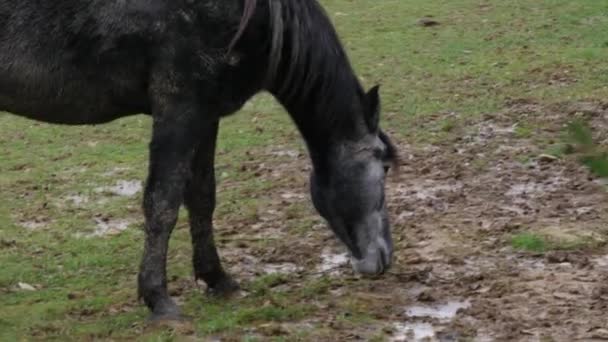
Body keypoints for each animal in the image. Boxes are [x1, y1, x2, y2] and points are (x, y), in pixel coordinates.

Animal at [0, 0, 400, 322]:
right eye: (384, 166)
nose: (384, 258)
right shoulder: (180, 110)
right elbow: (162, 203)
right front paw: (158, 298)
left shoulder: (207, 115)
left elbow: (203, 197)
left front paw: (216, 278)